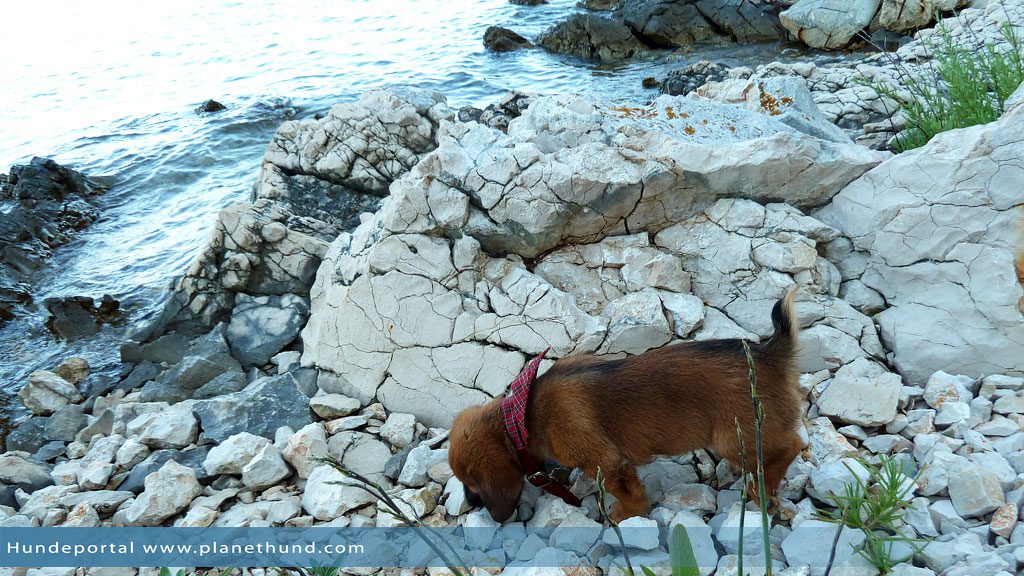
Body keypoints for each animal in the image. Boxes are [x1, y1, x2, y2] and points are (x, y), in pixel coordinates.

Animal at [452, 286, 802, 520]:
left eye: (471, 482)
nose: (470, 504)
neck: (524, 414)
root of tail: (770, 354)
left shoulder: (605, 462)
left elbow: (626, 491)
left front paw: (625, 514)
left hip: (733, 437)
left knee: (791, 447)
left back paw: (765, 490)